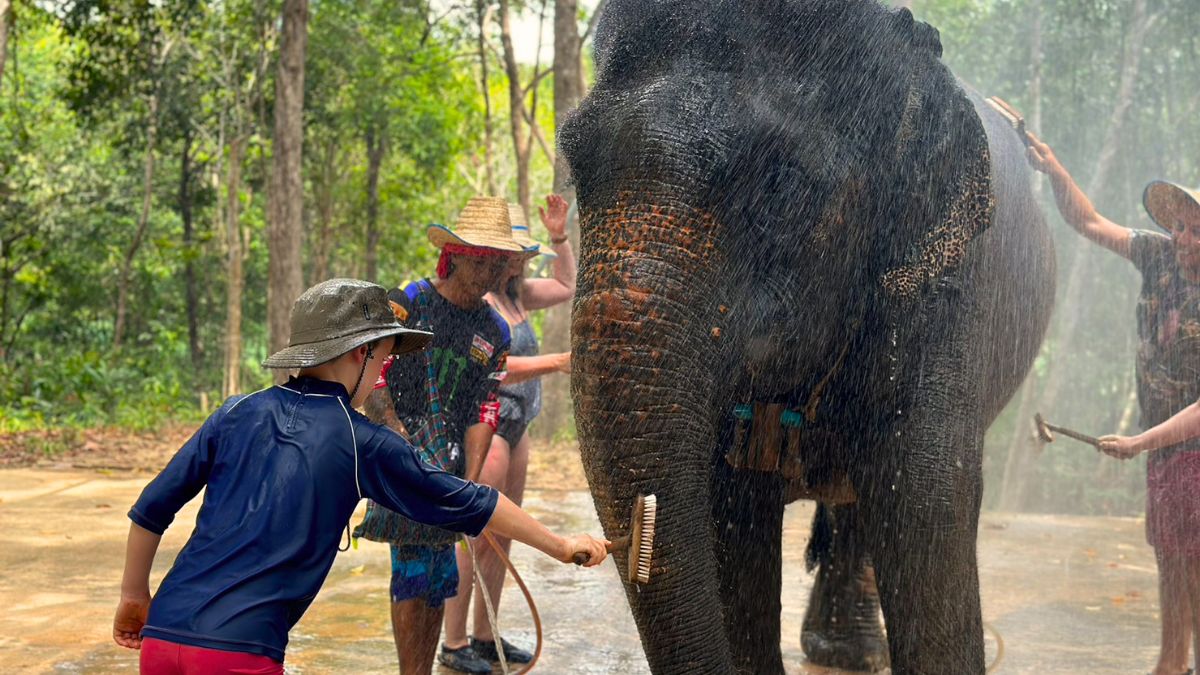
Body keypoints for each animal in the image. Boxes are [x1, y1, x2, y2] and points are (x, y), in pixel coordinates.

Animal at [561, 1, 1051, 672]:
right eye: (573, 170)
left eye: (783, 187)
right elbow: (730, 509)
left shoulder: (949, 288)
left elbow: (923, 497)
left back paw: (849, 652)